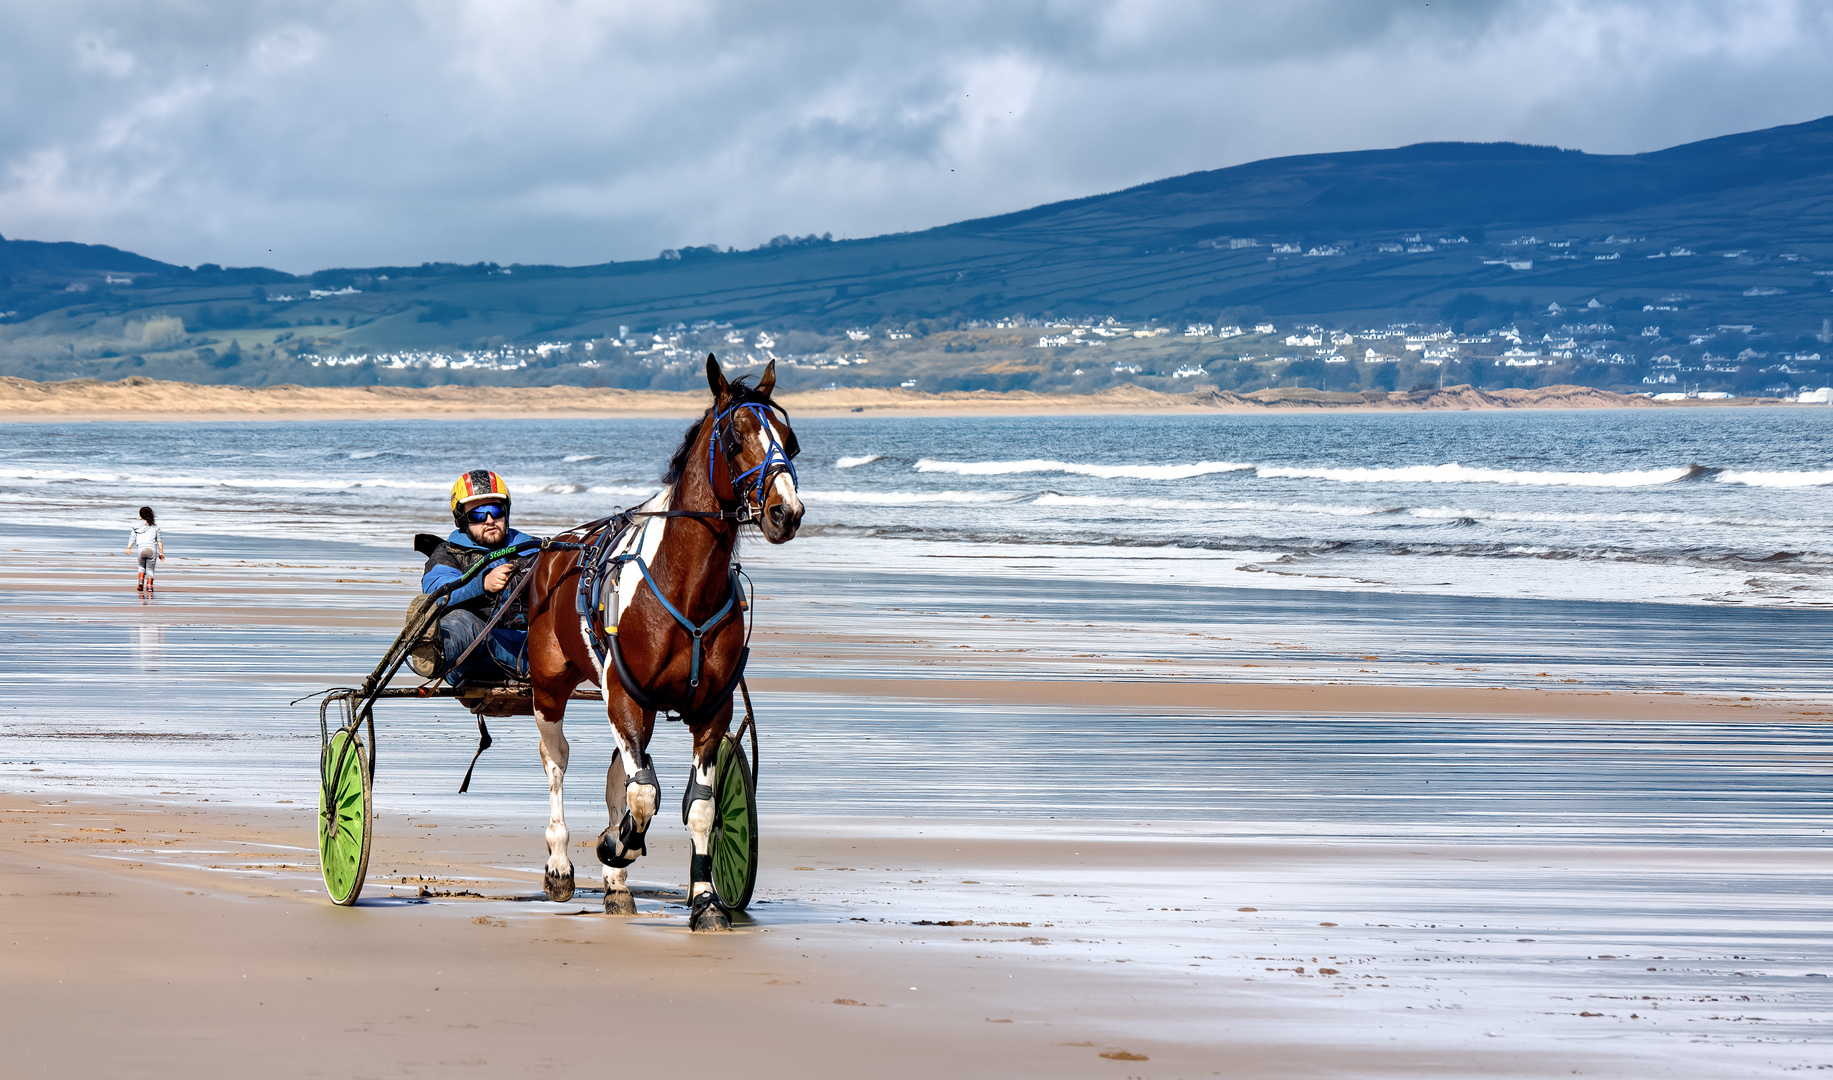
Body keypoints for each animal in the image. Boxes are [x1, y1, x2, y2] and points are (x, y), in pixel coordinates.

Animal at [520, 352, 799, 927]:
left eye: (791, 438)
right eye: (735, 439)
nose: (787, 512)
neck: (684, 587)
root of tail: (559, 546)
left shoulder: (710, 710)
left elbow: (700, 807)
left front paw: (705, 898)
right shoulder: (626, 698)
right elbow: (645, 794)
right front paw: (617, 844)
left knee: (618, 772)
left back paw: (616, 883)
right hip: (550, 687)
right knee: (556, 762)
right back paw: (560, 863)